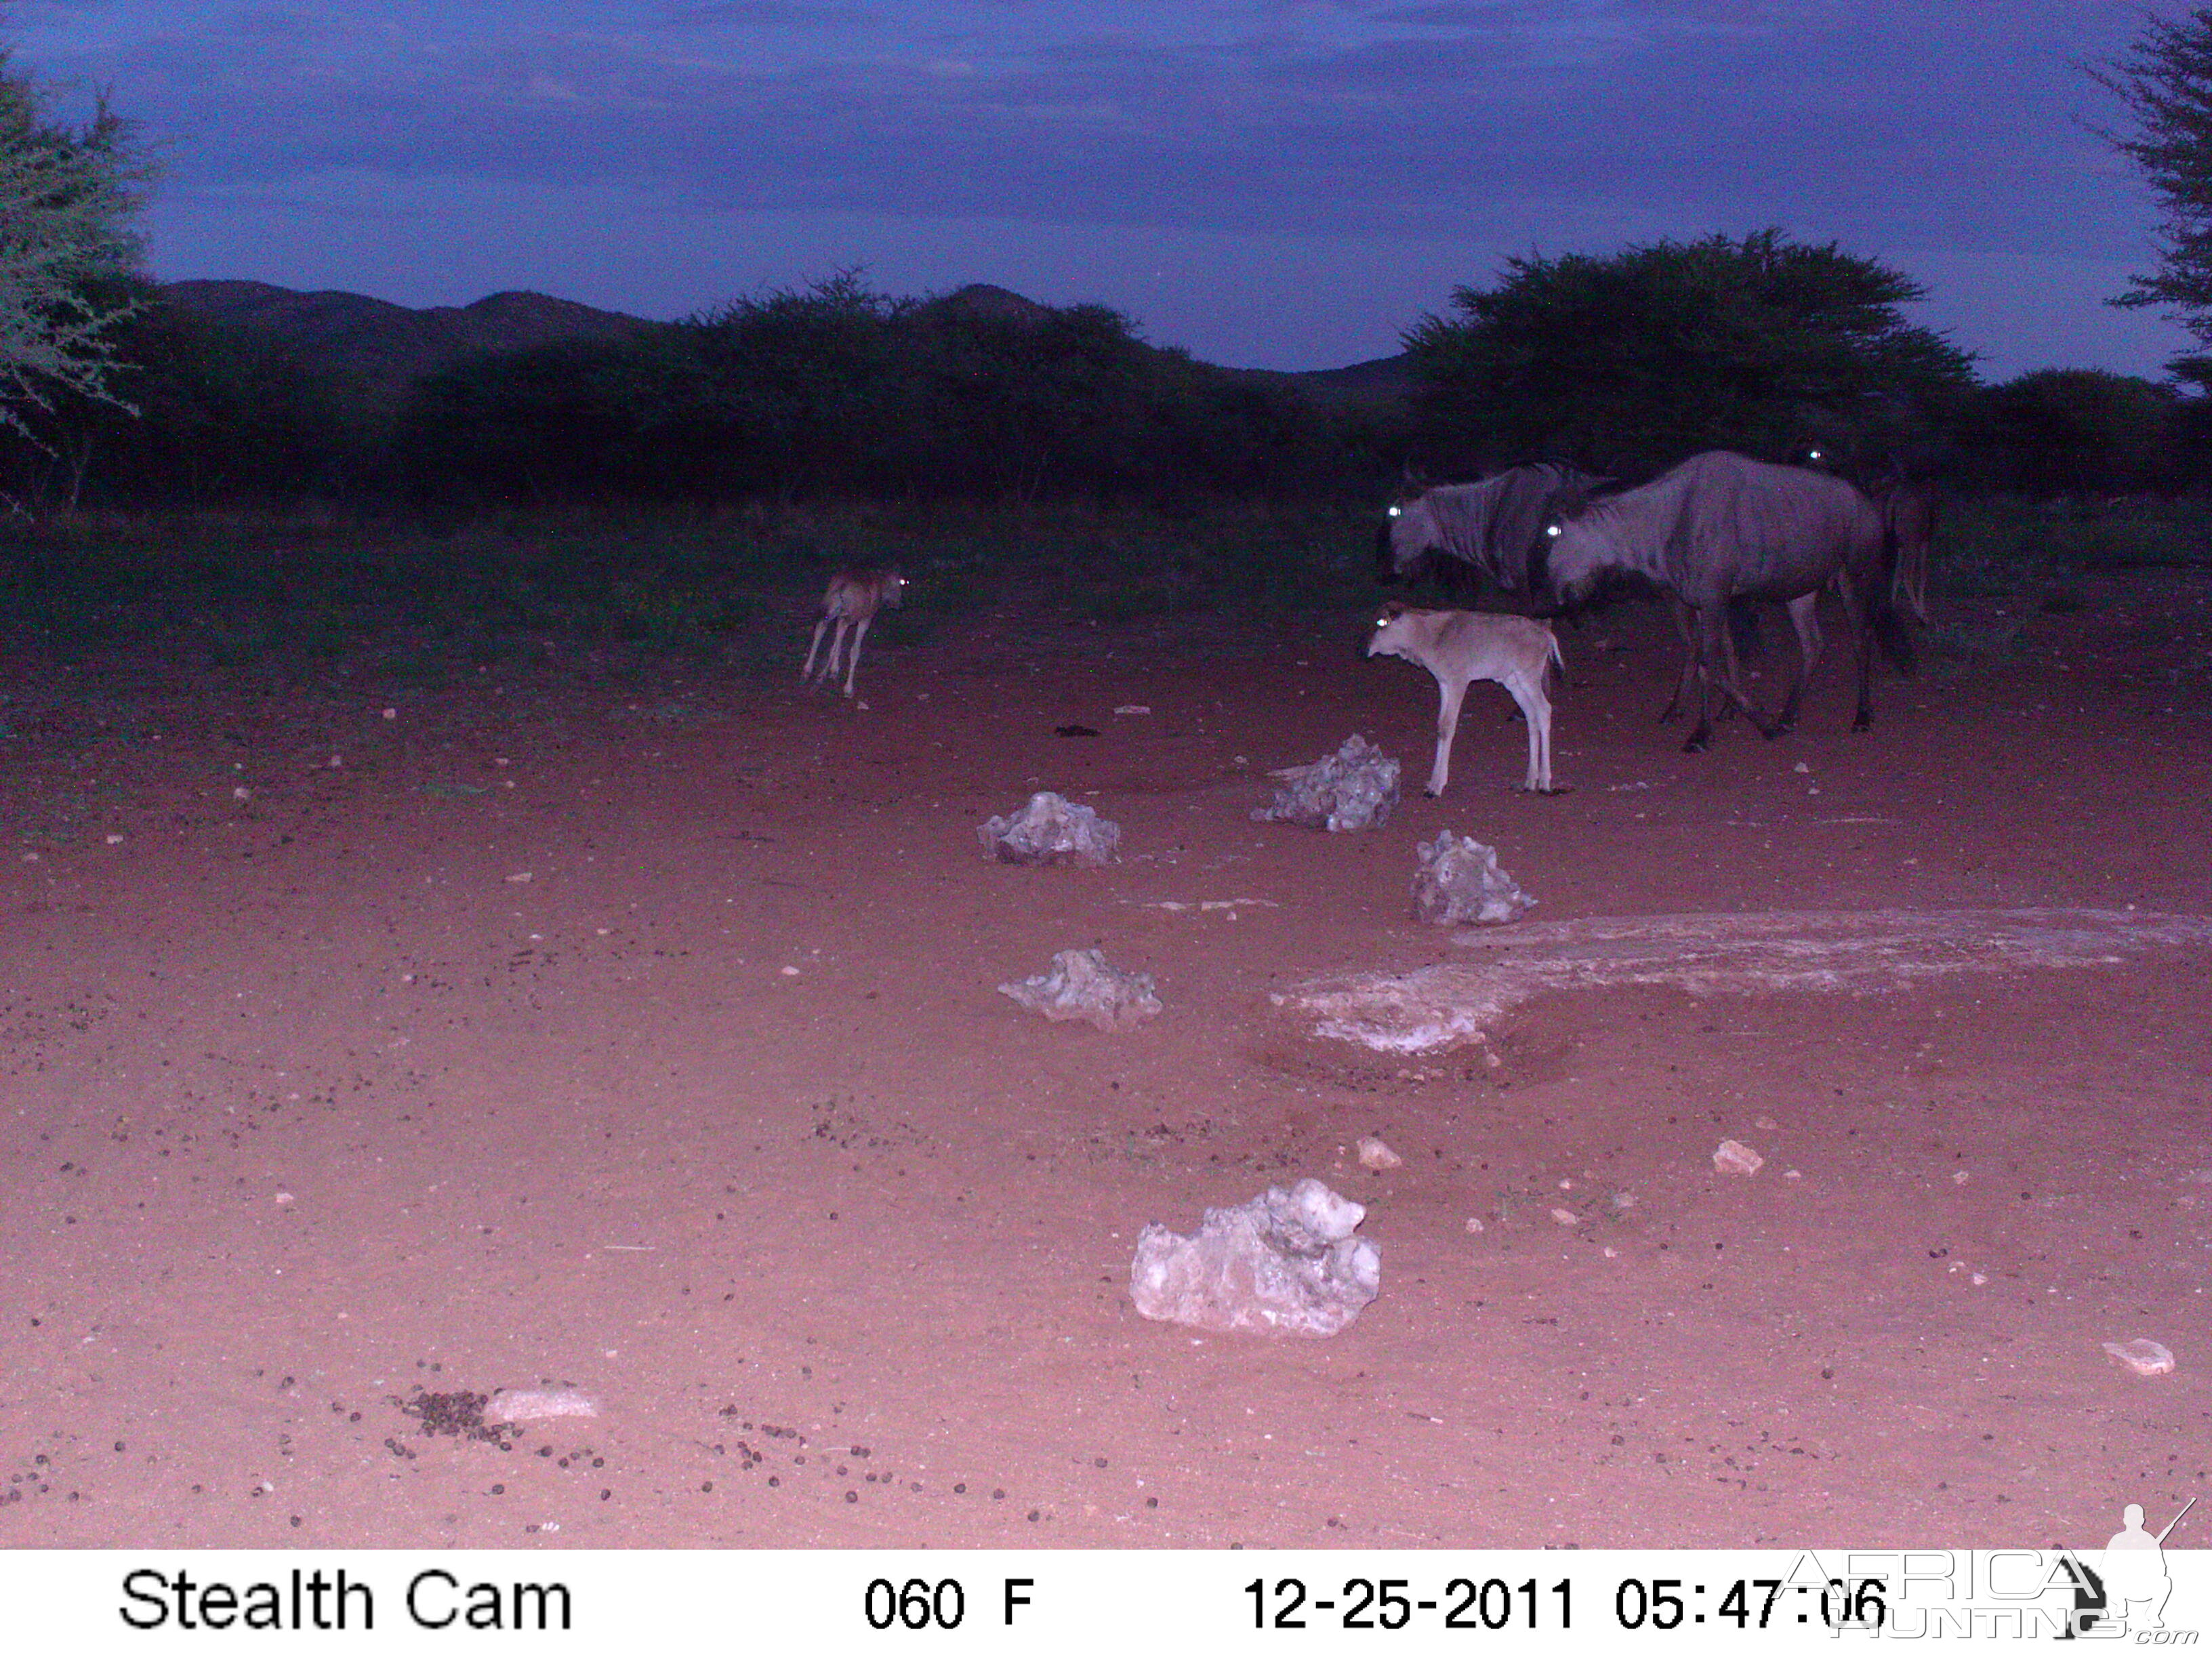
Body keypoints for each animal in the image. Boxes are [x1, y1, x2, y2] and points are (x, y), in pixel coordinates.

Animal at [805, 571, 907, 699]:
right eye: (898, 586)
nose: (901, 605)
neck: (881, 587)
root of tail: (841, 586)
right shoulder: (865, 618)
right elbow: (854, 650)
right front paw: (847, 687)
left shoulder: (841, 615)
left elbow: (836, 644)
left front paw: (834, 670)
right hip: (850, 615)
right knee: (839, 633)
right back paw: (825, 677)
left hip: (830, 609)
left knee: (820, 629)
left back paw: (808, 670)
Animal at [1353, 606, 1565, 800]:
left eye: (1382, 623)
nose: (1362, 648)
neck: (1429, 637)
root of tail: (1546, 634)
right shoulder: (1444, 683)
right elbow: (1441, 726)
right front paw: (1433, 782)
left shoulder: (1458, 682)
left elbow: (1448, 727)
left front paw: (1436, 787)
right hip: (1513, 681)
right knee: (1531, 715)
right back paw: (1530, 781)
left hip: (1529, 676)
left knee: (1544, 710)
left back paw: (1545, 782)